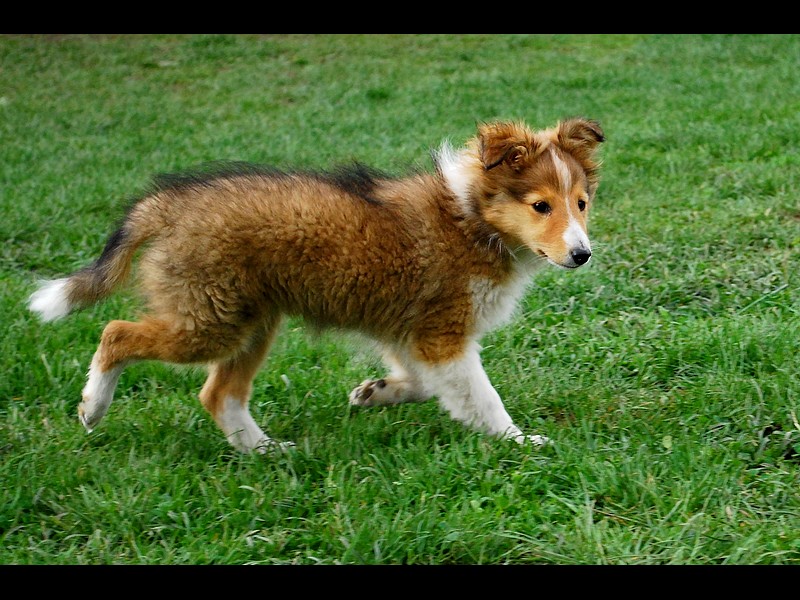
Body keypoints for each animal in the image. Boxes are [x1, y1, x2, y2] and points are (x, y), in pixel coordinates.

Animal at [29, 117, 608, 454]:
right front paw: (522, 441)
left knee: (219, 395)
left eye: (581, 203)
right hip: (210, 320)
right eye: (541, 206)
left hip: (249, 320)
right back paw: (93, 406)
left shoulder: (414, 335)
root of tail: (168, 204)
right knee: (115, 332)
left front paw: (376, 393)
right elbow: (482, 397)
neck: (473, 218)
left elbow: (425, 384)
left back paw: (266, 452)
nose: (582, 255)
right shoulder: (443, 334)